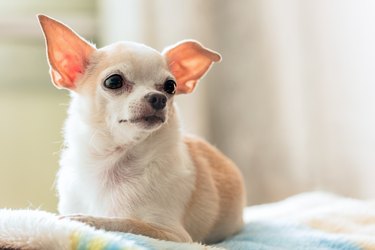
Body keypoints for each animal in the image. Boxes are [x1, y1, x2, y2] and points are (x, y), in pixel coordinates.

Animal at [38, 14, 245, 244]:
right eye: (114, 81)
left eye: (171, 86)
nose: (159, 98)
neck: (110, 162)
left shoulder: (173, 234)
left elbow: (122, 222)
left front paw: (84, 219)